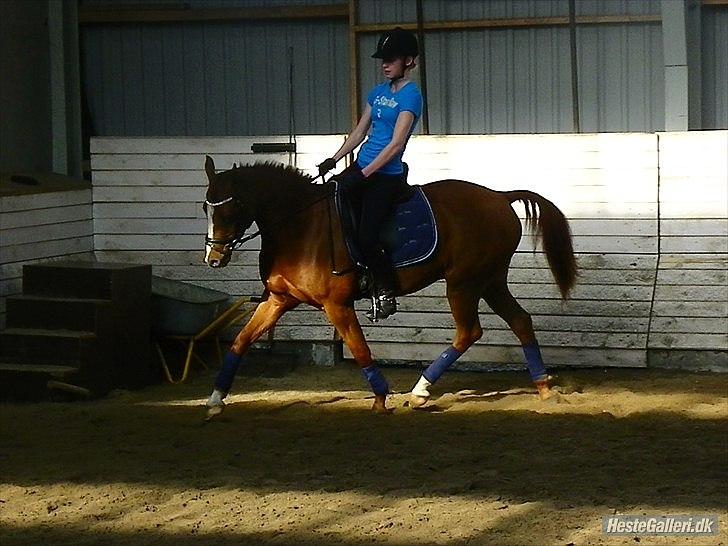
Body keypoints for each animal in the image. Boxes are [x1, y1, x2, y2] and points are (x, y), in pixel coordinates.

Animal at [200, 155, 576, 414]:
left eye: (229, 210)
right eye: (205, 207)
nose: (214, 259)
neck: (300, 226)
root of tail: (499, 196)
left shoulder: (336, 305)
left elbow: (360, 349)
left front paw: (381, 398)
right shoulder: (278, 300)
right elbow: (241, 341)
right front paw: (216, 399)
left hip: (463, 283)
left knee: (469, 332)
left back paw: (421, 392)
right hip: (490, 281)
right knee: (520, 321)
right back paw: (543, 387)